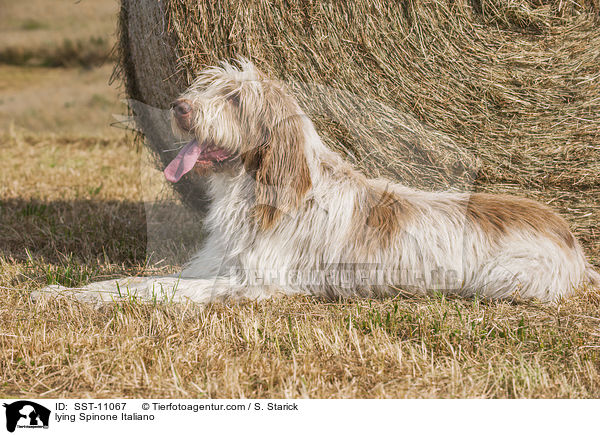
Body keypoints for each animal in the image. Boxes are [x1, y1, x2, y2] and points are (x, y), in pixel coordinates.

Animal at [37, 59, 596, 304]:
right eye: (203, 87)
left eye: (235, 99)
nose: (179, 107)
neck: (258, 190)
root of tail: (571, 237)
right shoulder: (212, 266)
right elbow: (133, 281)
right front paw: (62, 291)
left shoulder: (255, 282)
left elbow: (157, 292)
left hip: (507, 278)